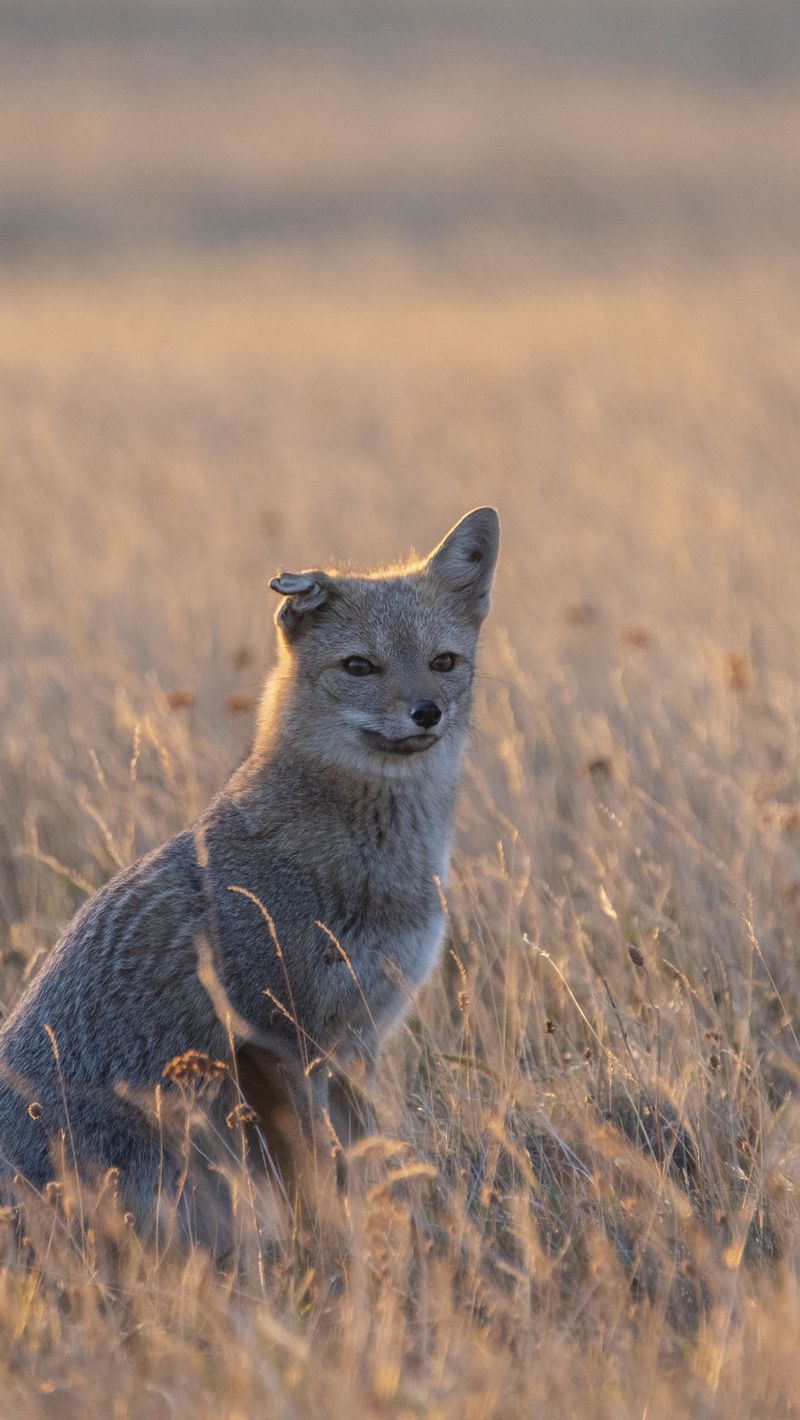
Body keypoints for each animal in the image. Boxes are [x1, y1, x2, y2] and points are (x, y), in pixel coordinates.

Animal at [0, 507, 499, 1234]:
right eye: (359, 666)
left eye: (444, 662)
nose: (426, 712)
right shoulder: (277, 1040)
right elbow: (318, 1178)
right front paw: (334, 1243)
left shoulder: (357, 1043)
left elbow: (368, 1161)